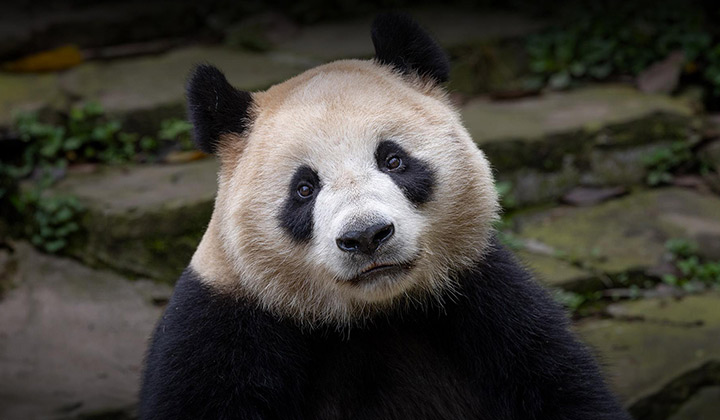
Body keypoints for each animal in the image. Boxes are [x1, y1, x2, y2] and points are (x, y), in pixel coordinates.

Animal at [139, 11, 632, 418]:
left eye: (393, 160)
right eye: (304, 189)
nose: (366, 236)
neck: (372, 315)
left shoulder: (488, 300)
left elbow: (561, 386)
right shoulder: (223, 329)